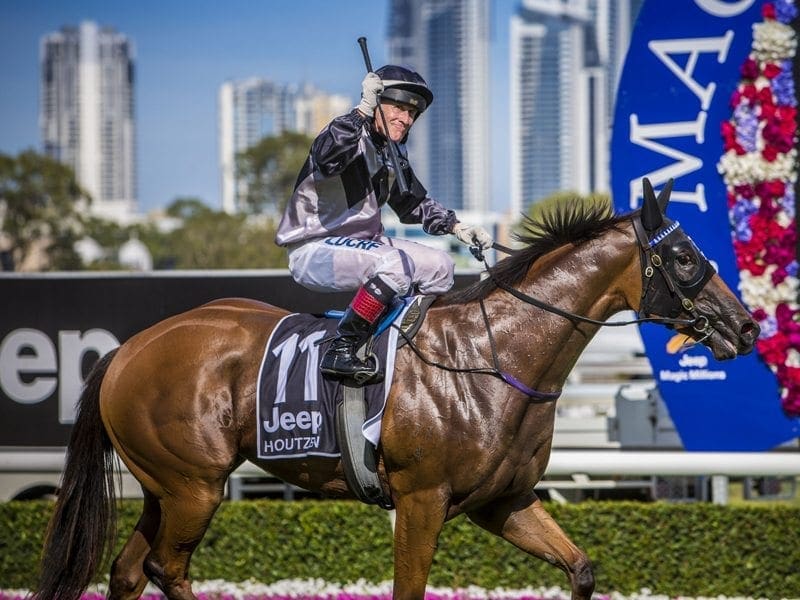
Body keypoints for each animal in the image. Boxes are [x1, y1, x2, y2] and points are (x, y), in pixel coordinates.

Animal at [32, 180, 756, 600]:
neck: (490, 358)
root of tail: (126, 351)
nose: (747, 326)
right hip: (194, 487)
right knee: (168, 570)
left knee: (131, 570)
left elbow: (580, 568)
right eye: (685, 258)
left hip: (167, 487)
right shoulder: (420, 498)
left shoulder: (504, 500)